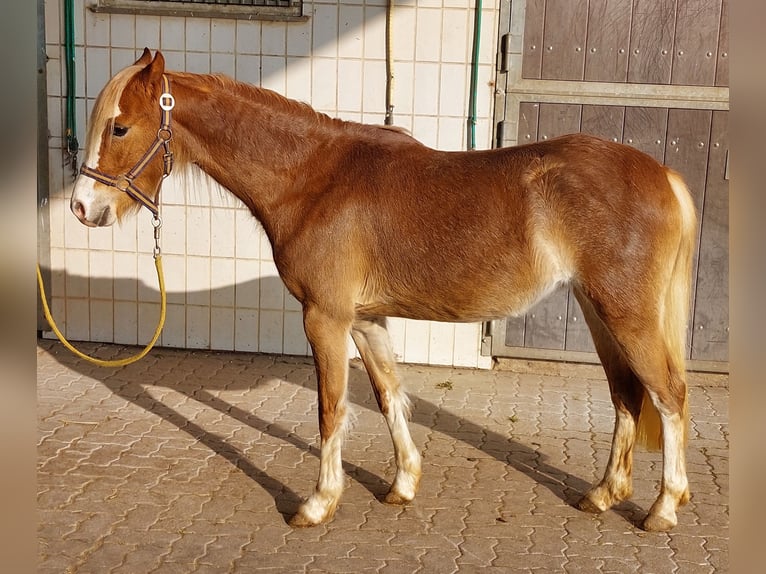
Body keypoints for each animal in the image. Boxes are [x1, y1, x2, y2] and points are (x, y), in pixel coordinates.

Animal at [70, 51, 696, 532]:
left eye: (119, 127)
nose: (81, 207)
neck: (315, 178)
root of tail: (664, 175)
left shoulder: (324, 318)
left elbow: (331, 409)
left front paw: (318, 504)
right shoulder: (366, 320)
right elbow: (389, 395)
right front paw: (403, 484)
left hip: (626, 314)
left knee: (668, 395)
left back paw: (663, 509)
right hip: (598, 311)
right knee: (626, 395)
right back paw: (603, 494)